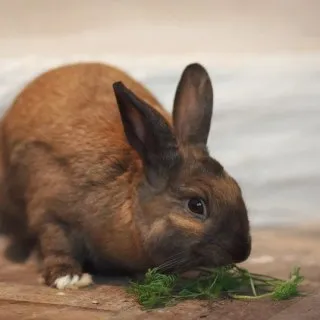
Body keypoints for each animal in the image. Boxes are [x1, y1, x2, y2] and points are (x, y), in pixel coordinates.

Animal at [0, 61, 250, 288]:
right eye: (196, 205)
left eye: (236, 188)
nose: (242, 251)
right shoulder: (52, 215)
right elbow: (57, 245)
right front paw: (69, 279)